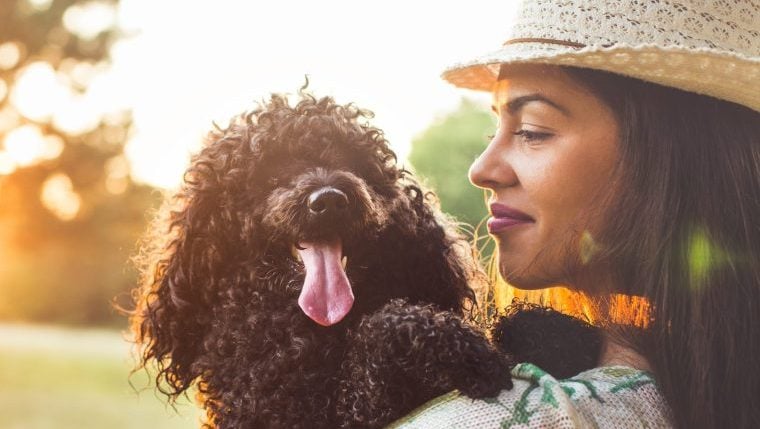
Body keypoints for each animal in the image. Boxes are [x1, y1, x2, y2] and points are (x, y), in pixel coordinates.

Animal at [132, 87, 604, 428]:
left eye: (353, 162)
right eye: (270, 172)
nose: (329, 200)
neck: (310, 328)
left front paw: (557, 331)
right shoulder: (304, 414)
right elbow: (387, 328)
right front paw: (469, 353)